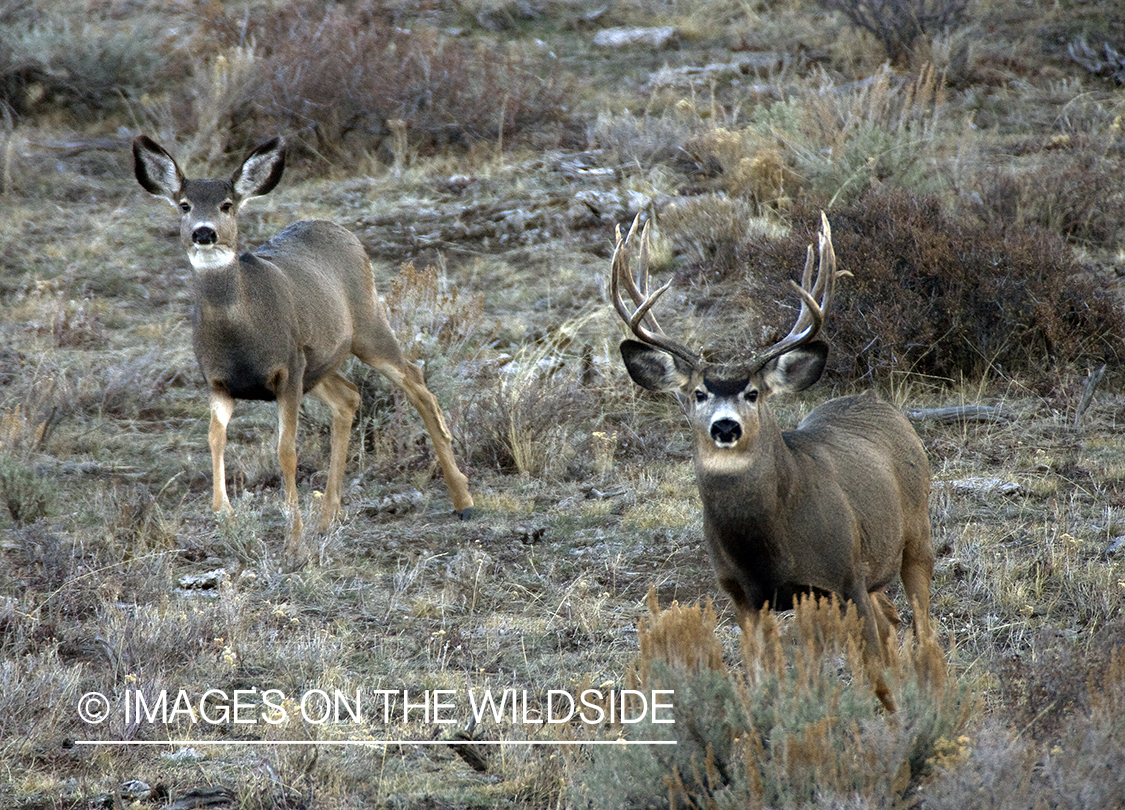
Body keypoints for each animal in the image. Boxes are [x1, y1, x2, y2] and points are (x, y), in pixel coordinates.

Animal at [132, 135, 474, 560]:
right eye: (184, 205)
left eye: (227, 204)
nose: (204, 232)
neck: (241, 336)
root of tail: (339, 229)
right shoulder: (217, 381)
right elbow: (214, 439)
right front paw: (225, 515)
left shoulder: (287, 370)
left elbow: (287, 452)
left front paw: (293, 538)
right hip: (320, 361)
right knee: (350, 396)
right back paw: (327, 516)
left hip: (367, 324)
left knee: (415, 381)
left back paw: (463, 500)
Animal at [610, 212, 933, 711]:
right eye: (698, 393)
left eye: (753, 393)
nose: (725, 427)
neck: (769, 546)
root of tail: (877, 402)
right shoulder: (742, 595)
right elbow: (762, 675)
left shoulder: (844, 576)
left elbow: (871, 670)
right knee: (892, 618)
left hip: (916, 535)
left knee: (921, 624)